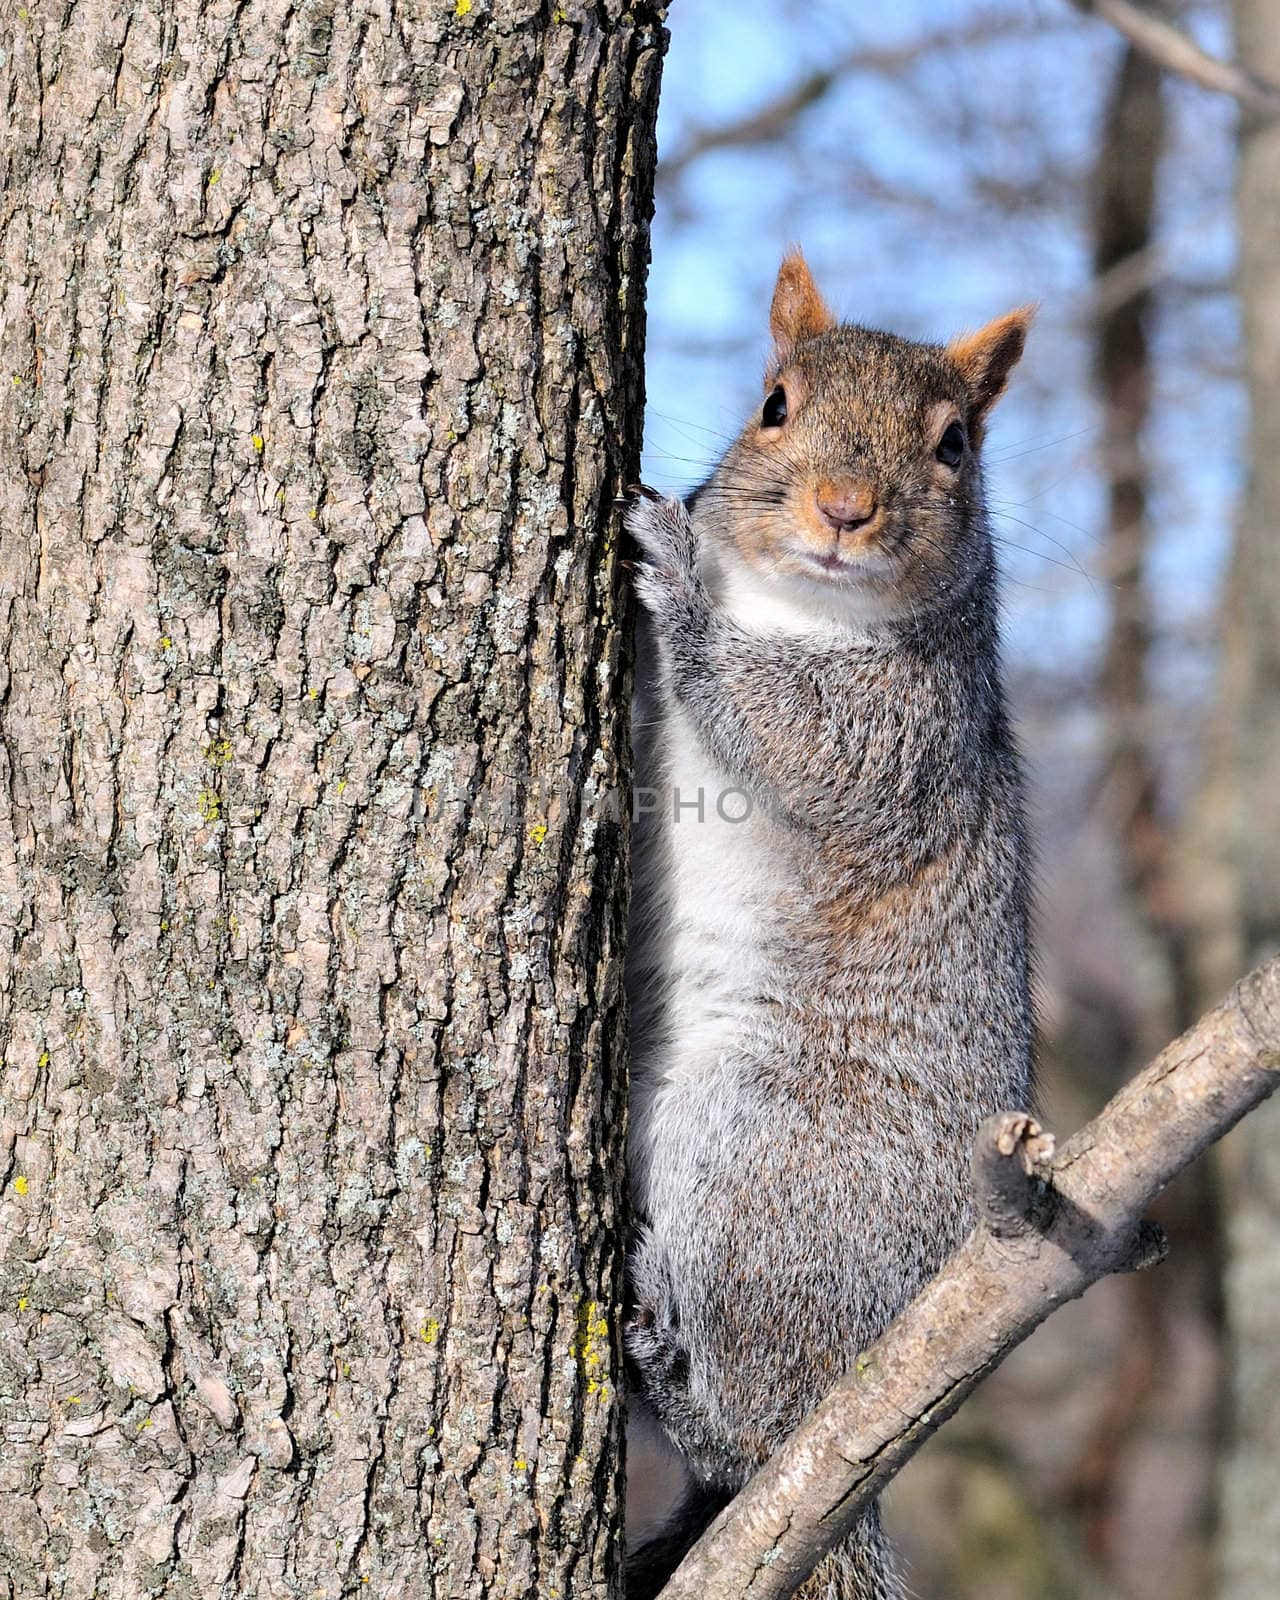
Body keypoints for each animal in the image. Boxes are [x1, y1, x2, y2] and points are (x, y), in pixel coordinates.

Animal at [624, 256, 1036, 1593]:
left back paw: (671, 1369)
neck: (792, 601)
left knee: (752, 1430)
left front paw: (676, 573)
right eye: (772, 404)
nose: (844, 509)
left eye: (955, 445)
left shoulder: (901, 731)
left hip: (761, 1161)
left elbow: (783, 725)